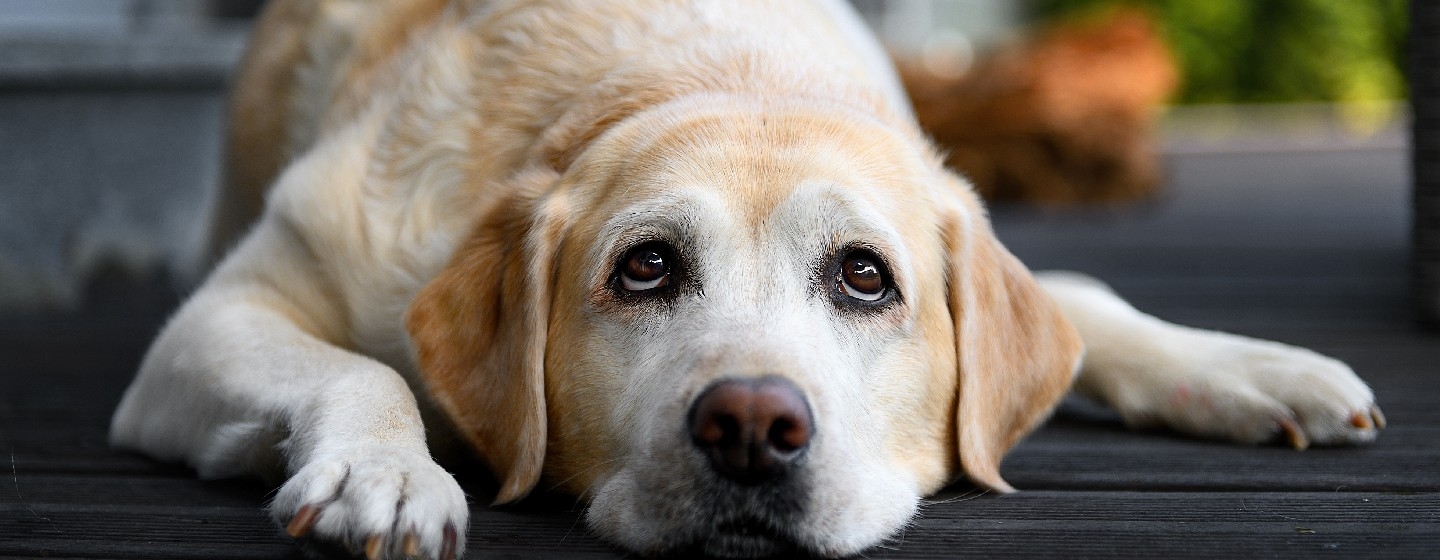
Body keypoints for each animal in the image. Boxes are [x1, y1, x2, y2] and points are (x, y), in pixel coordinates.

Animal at [112, 2, 1382, 555]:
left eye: (865, 277)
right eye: (646, 267)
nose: (752, 425)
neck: (719, 70)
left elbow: (1083, 296)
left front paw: (1248, 367)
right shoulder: (216, 317)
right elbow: (360, 373)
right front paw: (386, 472)